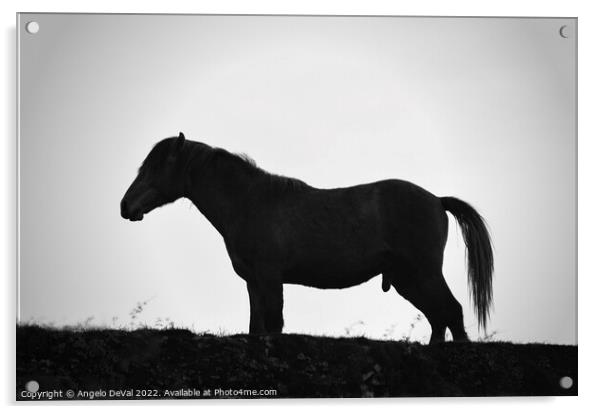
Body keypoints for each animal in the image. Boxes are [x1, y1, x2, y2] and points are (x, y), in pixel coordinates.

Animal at [118, 133, 492, 342]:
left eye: (156, 166)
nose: (125, 206)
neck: (250, 202)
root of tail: (437, 200)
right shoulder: (254, 282)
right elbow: (256, 327)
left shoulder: (270, 278)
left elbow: (274, 324)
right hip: (408, 280)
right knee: (438, 319)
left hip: (424, 274)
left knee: (452, 313)